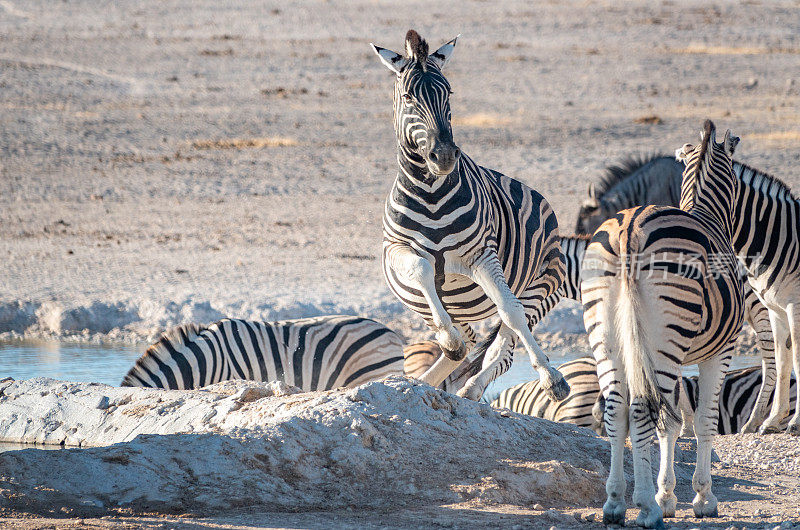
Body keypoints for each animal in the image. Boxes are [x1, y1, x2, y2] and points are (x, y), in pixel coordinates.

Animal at [374, 28, 568, 400]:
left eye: (448, 93)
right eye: (408, 97)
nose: (445, 156)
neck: (432, 194)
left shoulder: (481, 255)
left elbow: (511, 312)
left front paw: (551, 377)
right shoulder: (396, 250)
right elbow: (422, 268)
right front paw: (448, 343)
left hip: (542, 287)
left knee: (504, 340)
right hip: (425, 303)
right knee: (464, 337)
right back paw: (429, 377)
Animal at [580, 120, 744, 524]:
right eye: (738, 176)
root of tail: (628, 227)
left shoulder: (680, 353)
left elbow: (671, 422)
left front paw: (668, 495)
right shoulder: (720, 350)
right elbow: (703, 420)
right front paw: (701, 498)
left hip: (611, 339)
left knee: (616, 410)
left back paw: (614, 503)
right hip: (663, 341)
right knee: (641, 409)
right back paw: (646, 507)